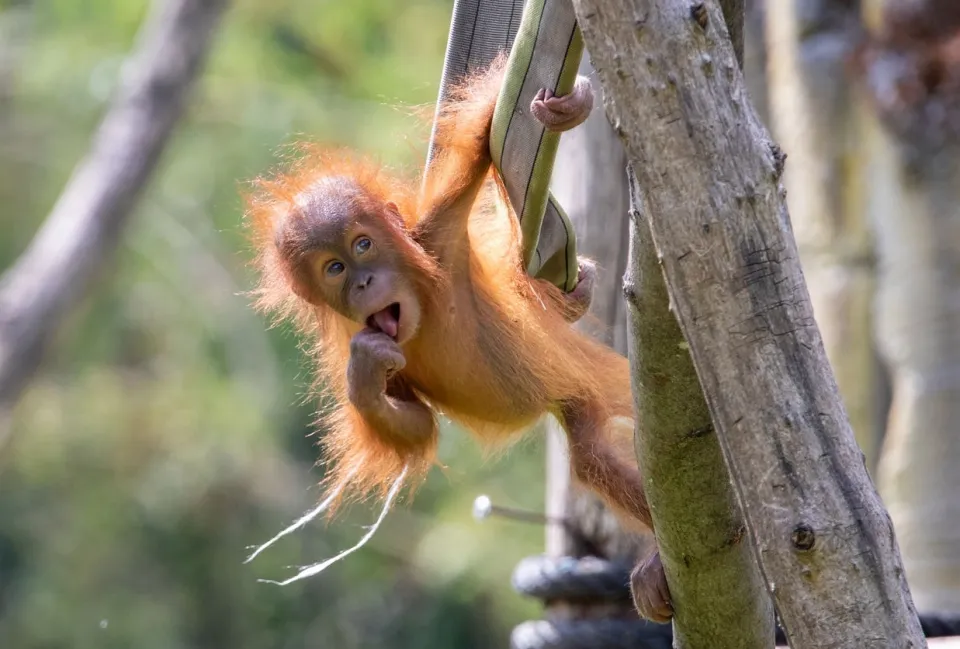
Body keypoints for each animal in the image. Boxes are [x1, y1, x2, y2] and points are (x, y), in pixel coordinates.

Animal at [243, 54, 672, 623]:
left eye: (363, 245)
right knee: (590, 453)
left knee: (595, 454)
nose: (364, 282)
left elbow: (478, 145)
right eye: (333, 268)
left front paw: (570, 106)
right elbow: (416, 422)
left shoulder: (438, 234)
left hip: (583, 374)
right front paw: (365, 376)